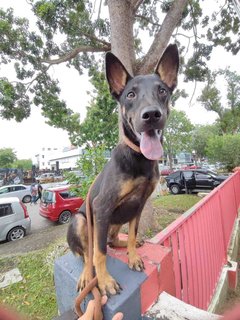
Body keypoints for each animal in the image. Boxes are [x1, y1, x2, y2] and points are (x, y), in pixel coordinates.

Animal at [66, 43, 179, 296]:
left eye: (162, 91)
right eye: (130, 94)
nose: (151, 115)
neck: (139, 158)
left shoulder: (139, 204)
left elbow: (132, 233)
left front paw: (133, 256)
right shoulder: (101, 206)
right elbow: (98, 254)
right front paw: (105, 281)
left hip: (116, 219)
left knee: (111, 240)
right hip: (82, 221)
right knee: (88, 253)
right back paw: (87, 275)